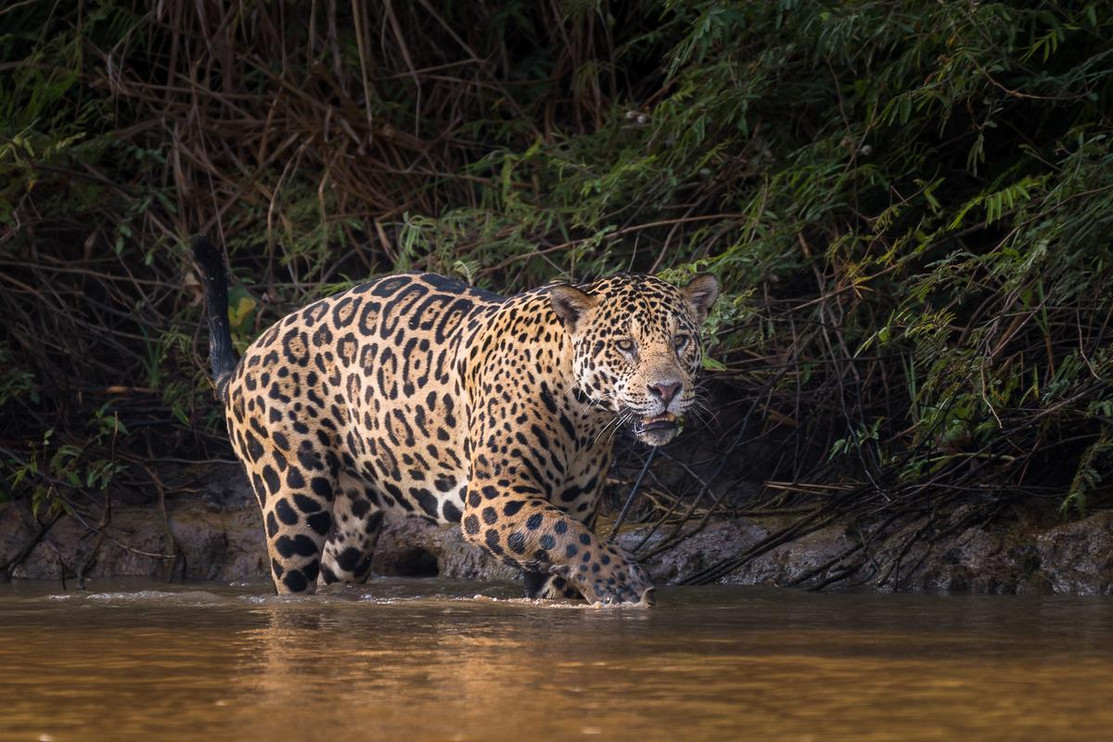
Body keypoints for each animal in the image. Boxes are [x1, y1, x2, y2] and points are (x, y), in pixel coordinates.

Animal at [192, 236, 718, 604]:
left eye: (681, 341)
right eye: (624, 345)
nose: (666, 390)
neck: (585, 414)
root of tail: (243, 363)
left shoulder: (574, 506)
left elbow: (566, 547)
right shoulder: (493, 499)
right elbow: (573, 541)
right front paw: (624, 582)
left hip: (351, 529)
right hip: (292, 500)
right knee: (291, 581)